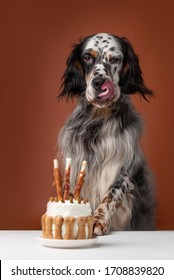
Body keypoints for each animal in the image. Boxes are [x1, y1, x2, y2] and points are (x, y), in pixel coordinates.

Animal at [57, 31, 155, 235]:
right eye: (87, 57)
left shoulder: (123, 165)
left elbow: (109, 196)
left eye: (115, 59)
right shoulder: (77, 162)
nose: (99, 82)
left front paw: (97, 221)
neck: (99, 117)